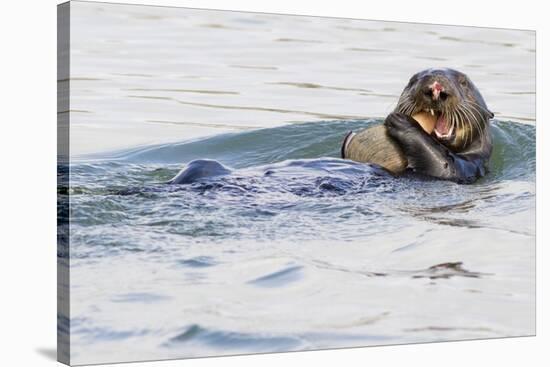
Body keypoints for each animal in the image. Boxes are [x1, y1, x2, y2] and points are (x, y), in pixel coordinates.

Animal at [344, 67, 496, 184]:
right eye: (412, 80)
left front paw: (403, 121)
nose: (436, 85)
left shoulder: (469, 167)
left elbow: (445, 167)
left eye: (463, 82)